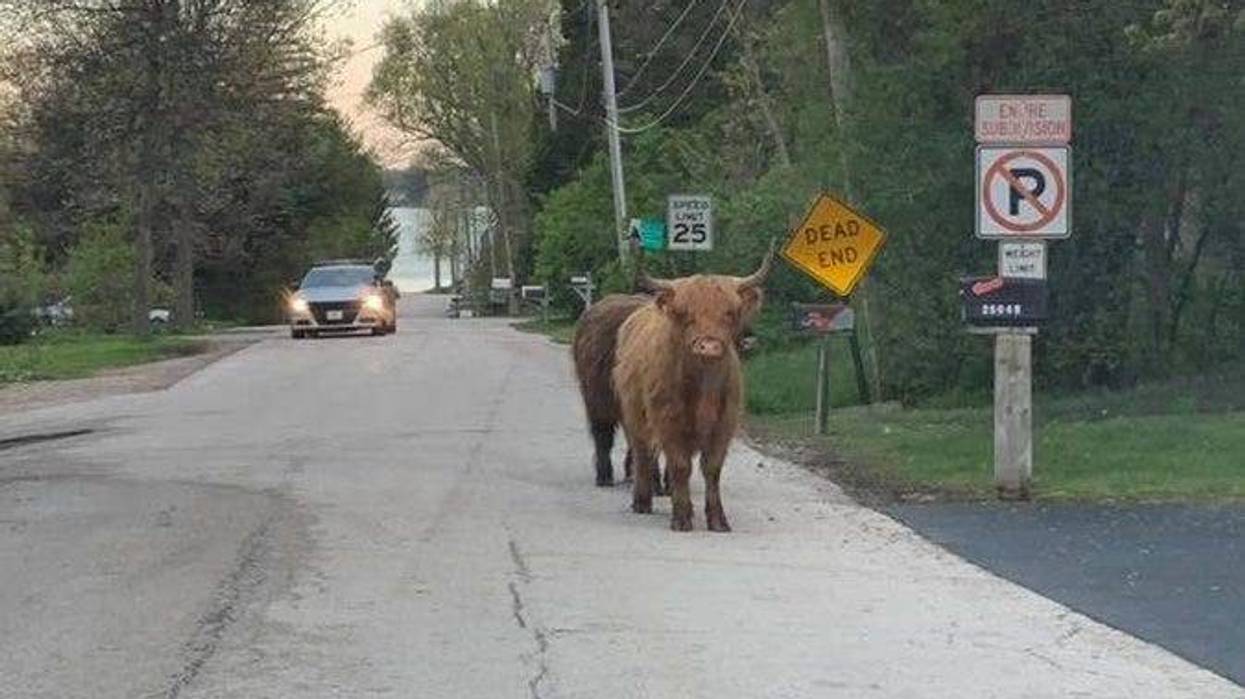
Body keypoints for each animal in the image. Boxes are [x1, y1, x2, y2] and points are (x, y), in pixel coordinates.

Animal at [612, 248, 773, 532]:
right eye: (685, 313)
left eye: (730, 312)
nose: (708, 346)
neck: (703, 388)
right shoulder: (667, 421)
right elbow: (680, 466)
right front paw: (682, 517)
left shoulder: (724, 424)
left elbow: (712, 469)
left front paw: (717, 519)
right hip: (635, 416)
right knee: (643, 453)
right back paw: (642, 501)